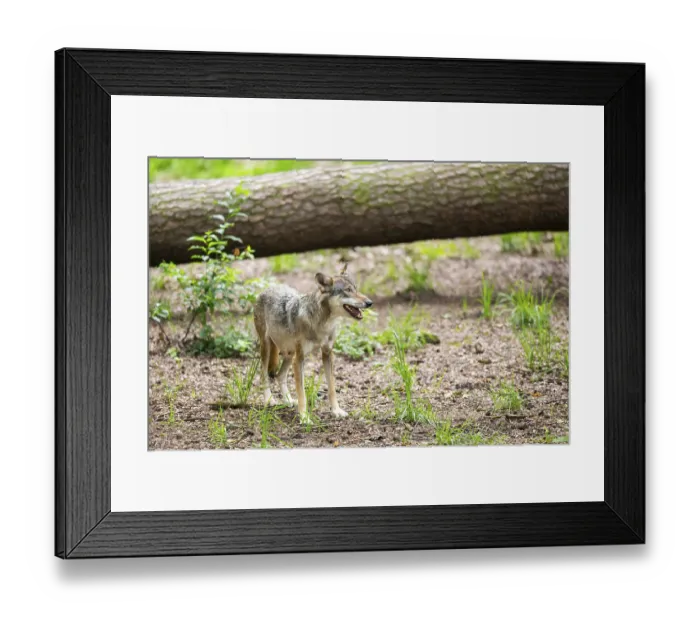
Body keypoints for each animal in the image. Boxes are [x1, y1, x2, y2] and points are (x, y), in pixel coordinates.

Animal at [253, 265, 373, 423]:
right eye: (347, 290)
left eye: (356, 289)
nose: (370, 302)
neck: (322, 324)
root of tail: (269, 287)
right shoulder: (300, 359)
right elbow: (302, 392)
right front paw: (304, 417)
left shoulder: (327, 354)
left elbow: (332, 388)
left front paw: (336, 411)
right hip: (268, 348)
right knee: (263, 375)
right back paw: (269, 400)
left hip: (289, 354)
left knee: (280, 376)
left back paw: (288, 400)